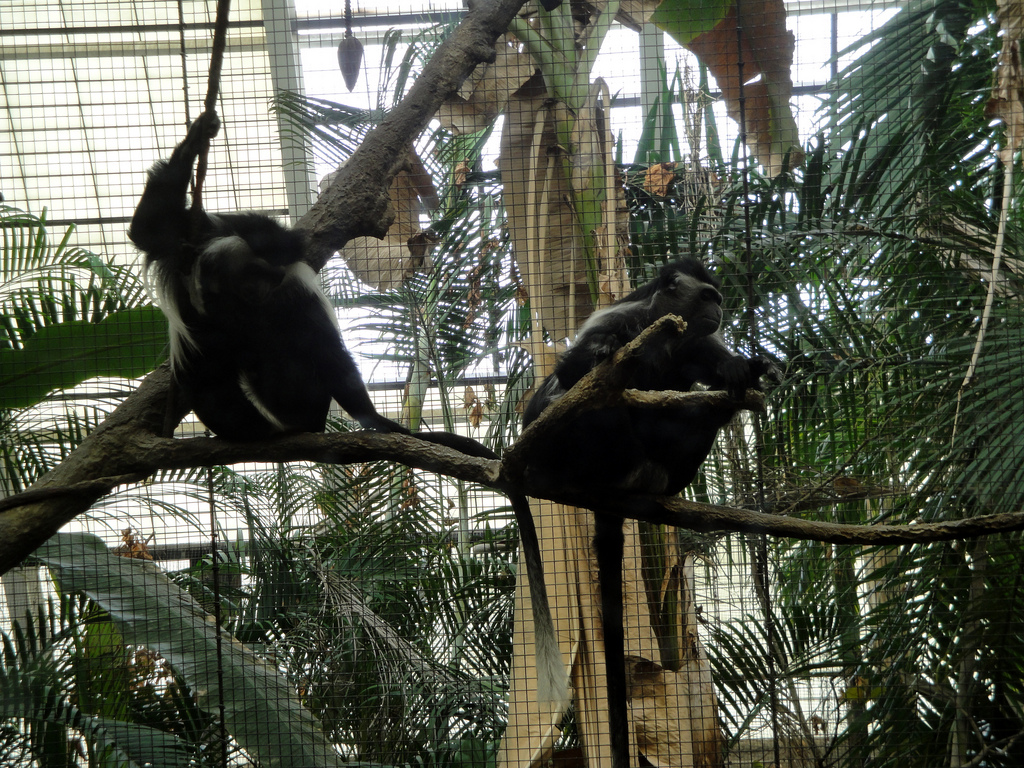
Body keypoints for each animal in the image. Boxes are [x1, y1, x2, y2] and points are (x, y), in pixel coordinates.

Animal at [128, 110, 568, 707]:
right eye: (248, 276)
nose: (262, 280)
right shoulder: (197, 253)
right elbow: (149, 232)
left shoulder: (227, 241)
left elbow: (271, 245)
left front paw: (200, 133)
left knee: (299, 328)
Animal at [522, 258, 778, 767]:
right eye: (709, 296)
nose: (721, 308)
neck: (660, 327)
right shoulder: (618, 323)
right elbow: (578, 368)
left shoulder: (698, 343)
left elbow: (716, 365)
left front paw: (745, 367)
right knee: (582, 399)